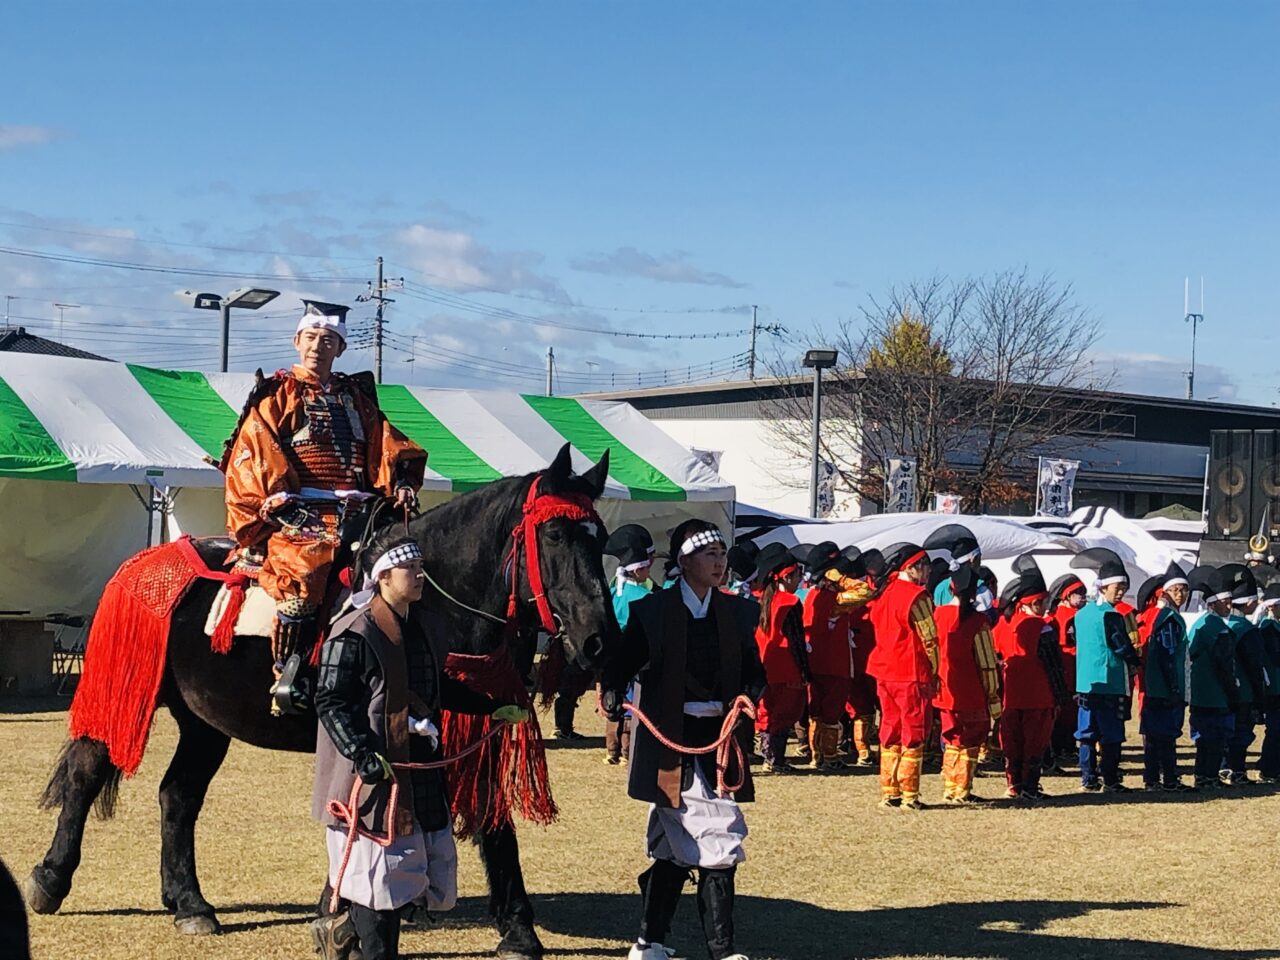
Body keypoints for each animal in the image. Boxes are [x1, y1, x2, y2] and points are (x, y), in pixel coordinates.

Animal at [23, 448, 614, 957]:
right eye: (554, 532)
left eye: (601, 537)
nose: (598, 640)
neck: (433, 602)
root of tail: (142, 562)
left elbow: (487, 822)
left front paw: (511, 926)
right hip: (127, 694)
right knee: (86, 773)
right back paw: (50, 880)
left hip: (204, 719)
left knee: (178, 797)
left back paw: (189, 903)